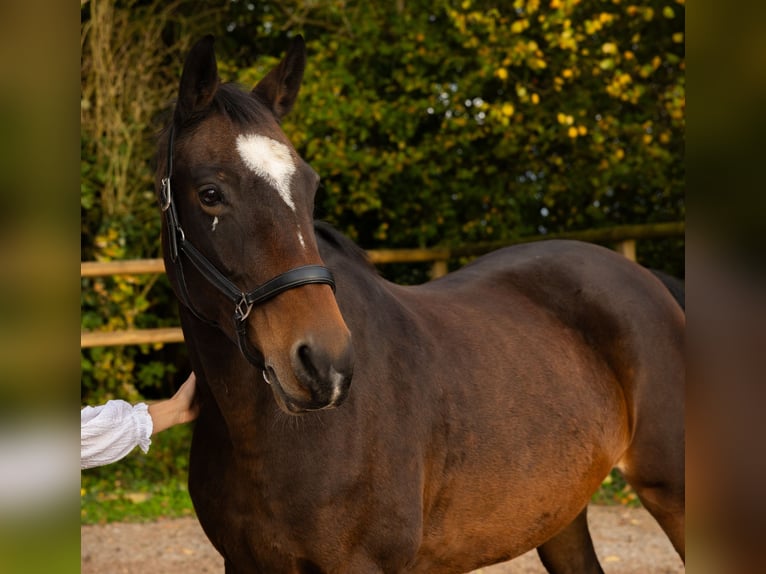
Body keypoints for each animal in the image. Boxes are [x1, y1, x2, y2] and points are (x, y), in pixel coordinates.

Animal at [154, 35, 684, 572]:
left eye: (310, 186)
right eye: (210, 193)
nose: (325, 364)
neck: (259, 437)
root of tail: (649, 281)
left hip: (673, 492)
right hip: (561, 513)